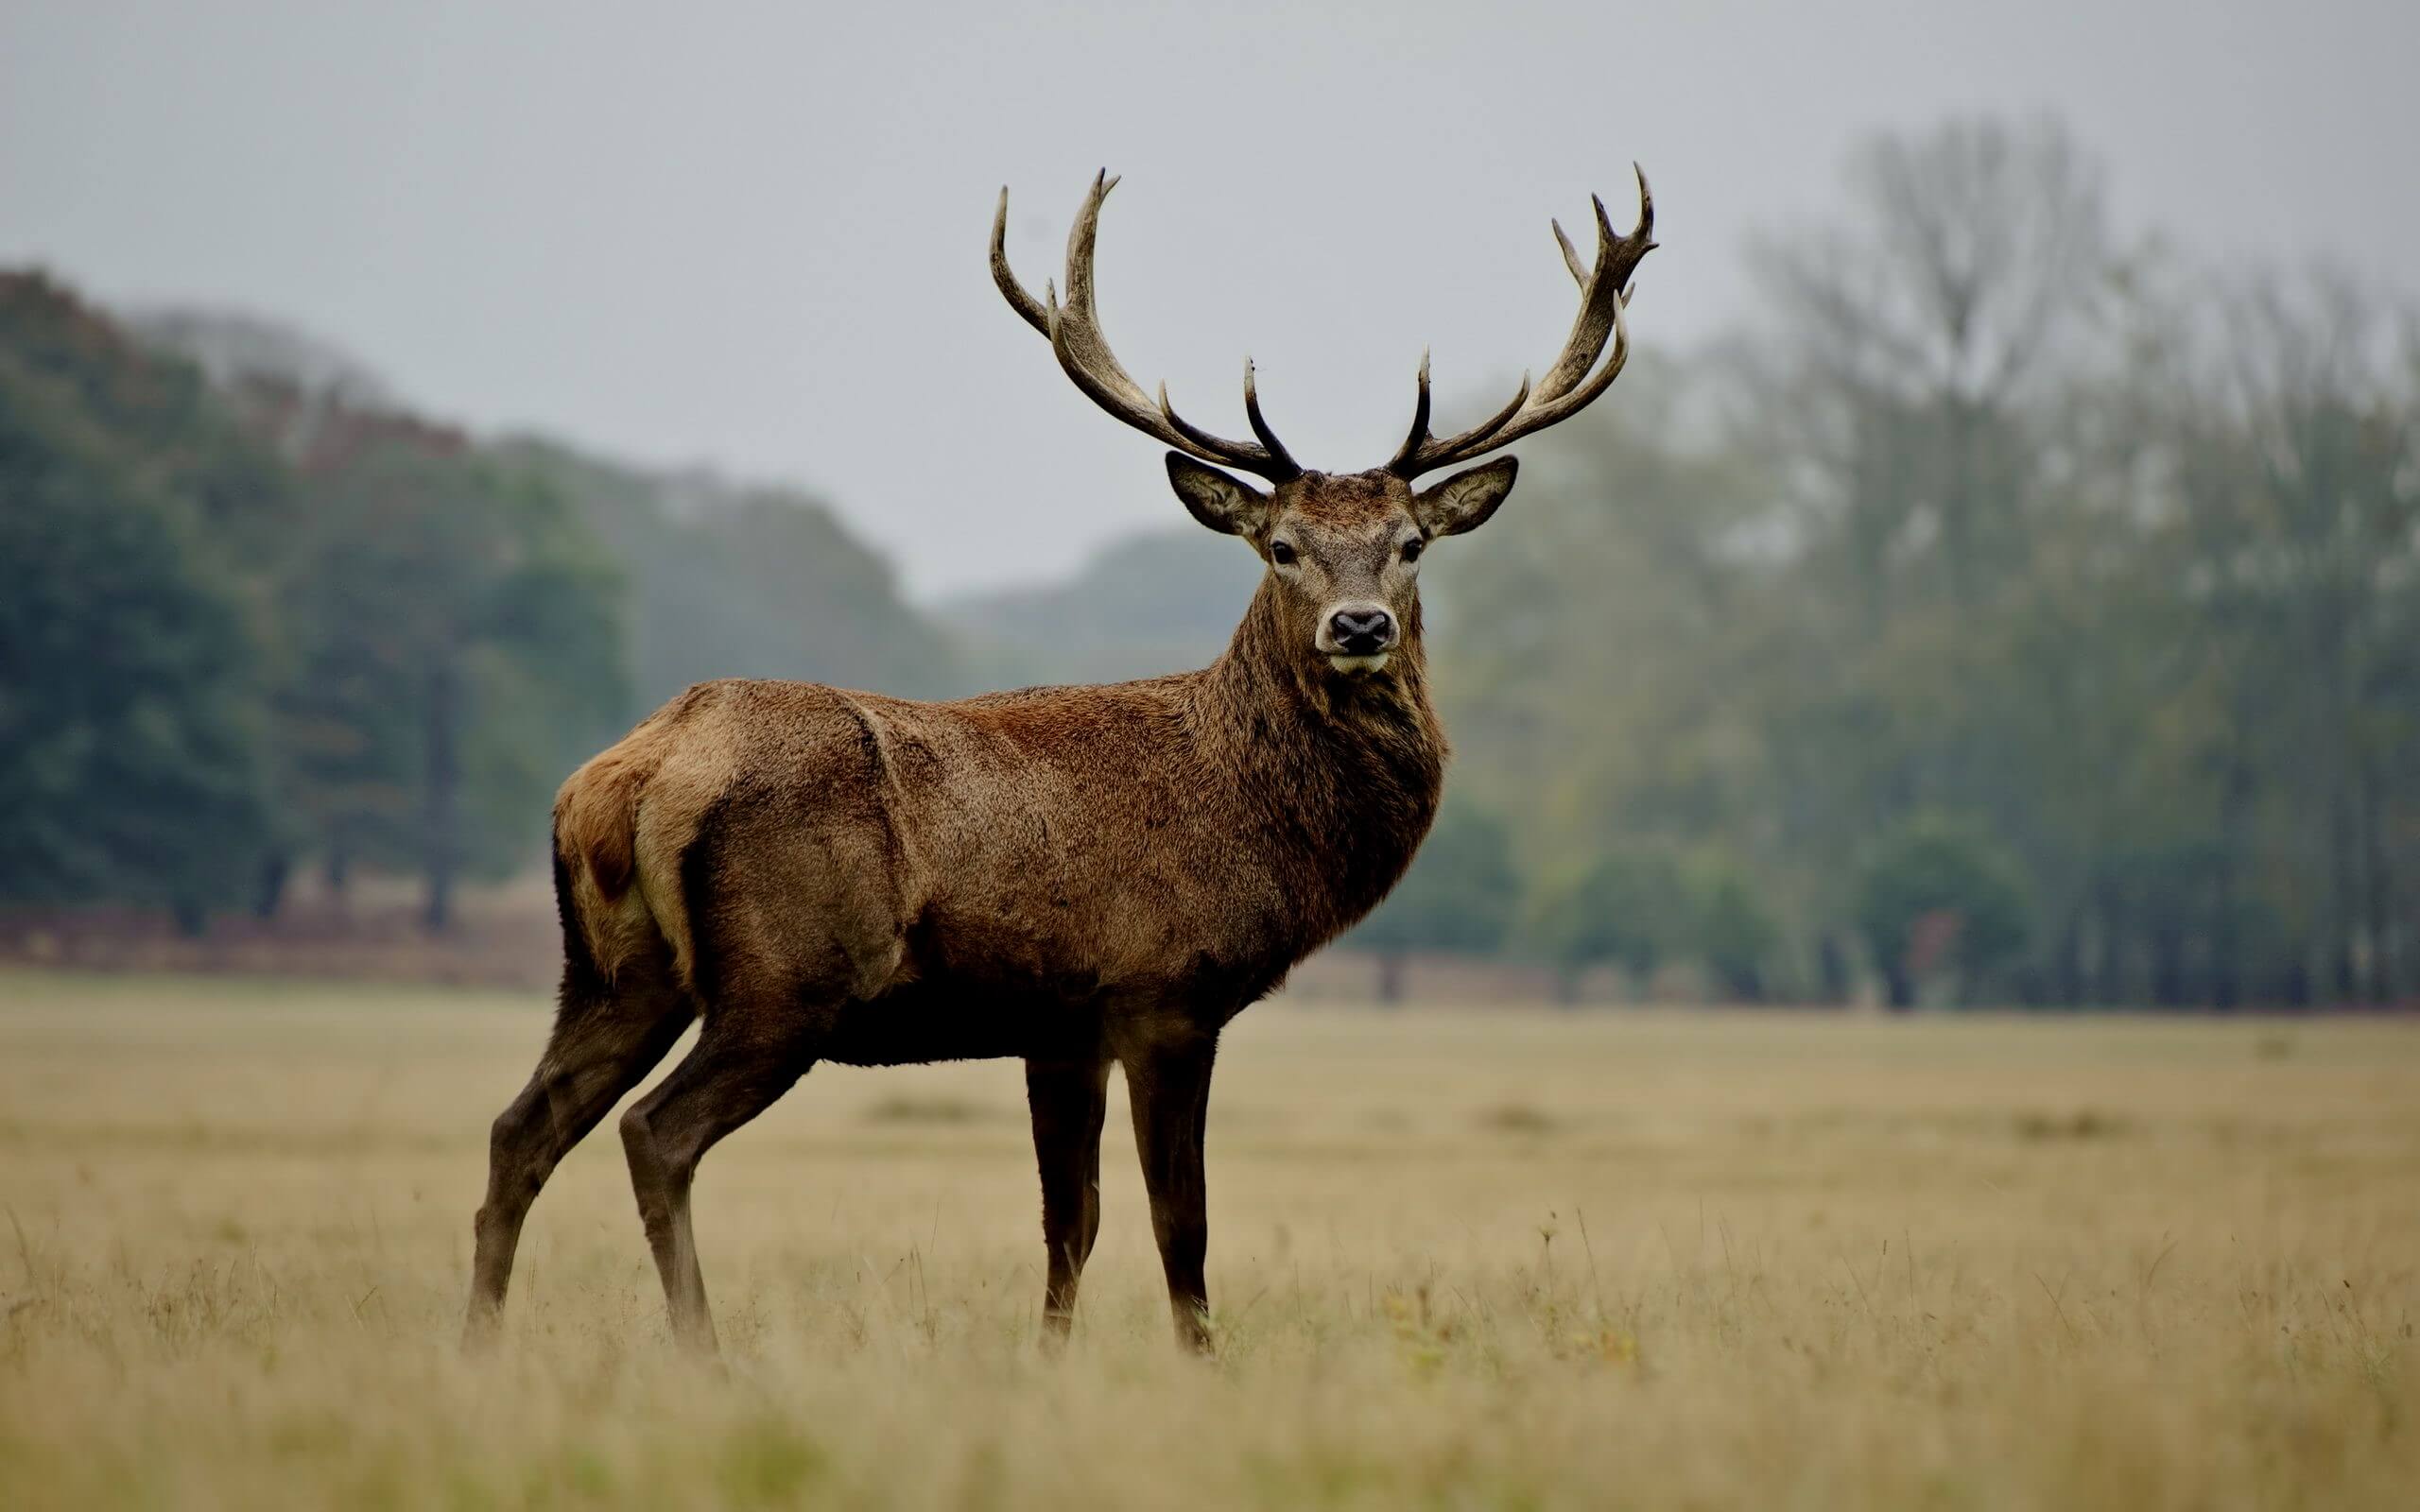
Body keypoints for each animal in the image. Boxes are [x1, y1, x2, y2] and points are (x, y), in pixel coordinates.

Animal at [463, 167, 1654, 1356]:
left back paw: (479, 1342)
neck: (1252, 812)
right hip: (784, 976)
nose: (1358, 625)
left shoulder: (1059, 1025)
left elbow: (1068, 1221)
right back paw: (702, 1353)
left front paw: (1047, 1361)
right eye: (1281, 546)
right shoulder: (1165, 991)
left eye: (1410, 544)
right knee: (652, 1132)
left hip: (615, 970)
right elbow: (1181, 1222)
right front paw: (1201, 1363)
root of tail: (626, 775)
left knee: (521, 1126)